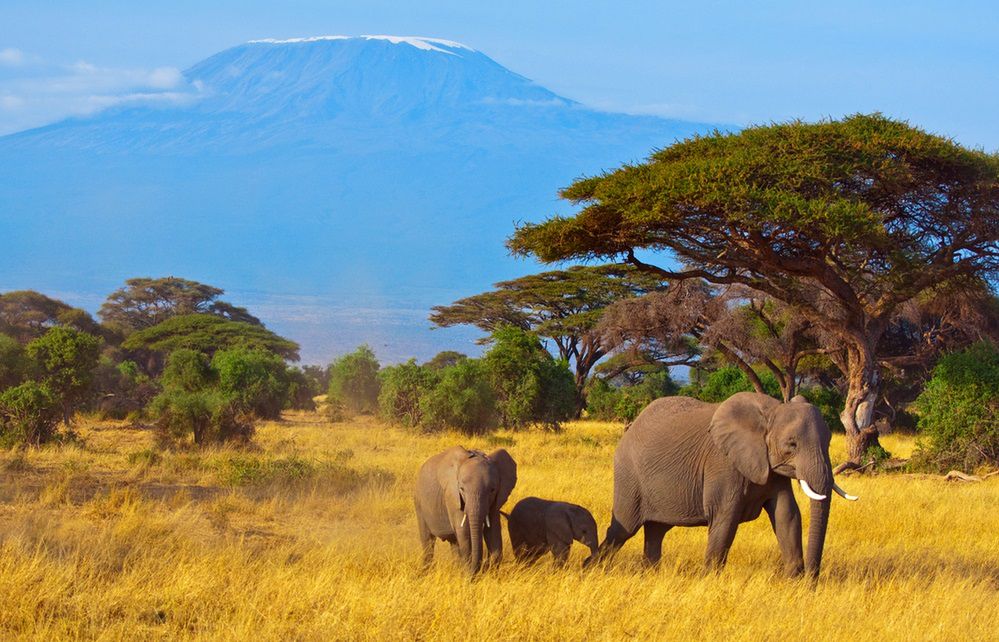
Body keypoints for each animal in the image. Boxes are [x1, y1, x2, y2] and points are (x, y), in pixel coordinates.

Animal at [412, 444, 516, 576]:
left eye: (492, 490)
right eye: (461, 489)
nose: (481, 568)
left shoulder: (496, 500)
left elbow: (493, 531)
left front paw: (490, 574)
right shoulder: (452, 496)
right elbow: (465, 532)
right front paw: (468, 575)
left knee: (454, 543)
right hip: (419, 502)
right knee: (428, 541)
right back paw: (426, 573)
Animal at [592, 390, 860, 576]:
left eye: (828, 441)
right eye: (791, 445)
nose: (812, 580)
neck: (771, 411)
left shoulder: (772, 470)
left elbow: (787, 515)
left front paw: (794, 583)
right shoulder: (723, 463)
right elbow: (725, 519)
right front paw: (709, 580)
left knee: (656, 532)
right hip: (629, 476)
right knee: (623, 529)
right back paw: (591, 568)